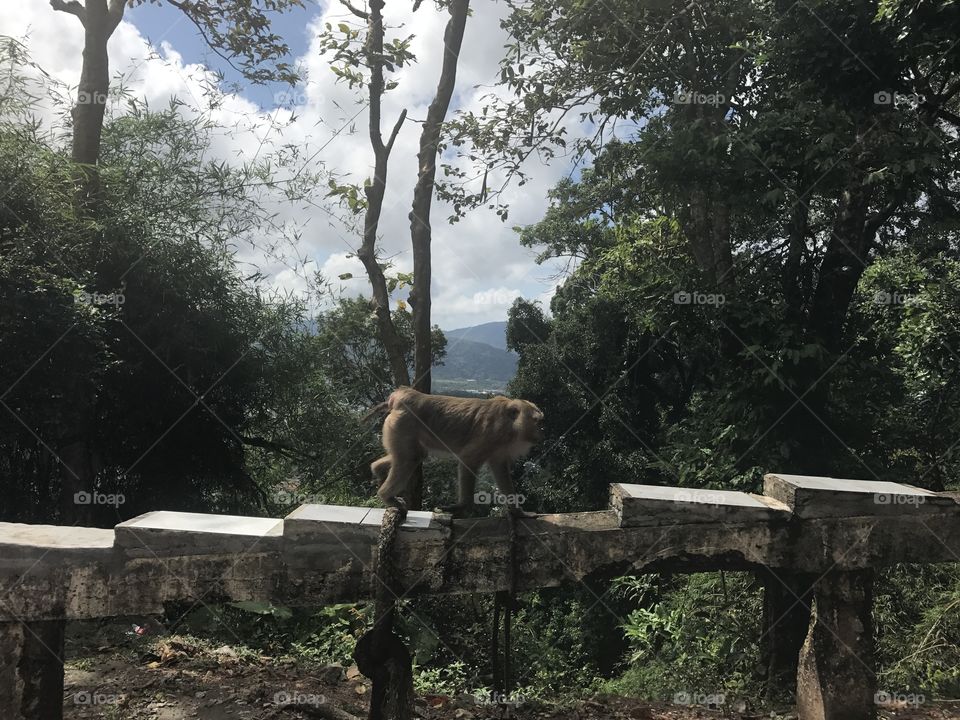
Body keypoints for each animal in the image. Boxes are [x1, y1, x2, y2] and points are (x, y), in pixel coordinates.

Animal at [368, 387, 544, 518]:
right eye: (537, 422)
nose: (540, 433)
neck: (510, 425)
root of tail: (403, 396)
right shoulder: (491, 435)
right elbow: (468, 459)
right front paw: (462, 507)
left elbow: (500, 469)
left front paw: (518, 512)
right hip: (402, 424)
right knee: (411, 458)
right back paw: (386, 495)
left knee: (415, 455)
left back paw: (378, 470)